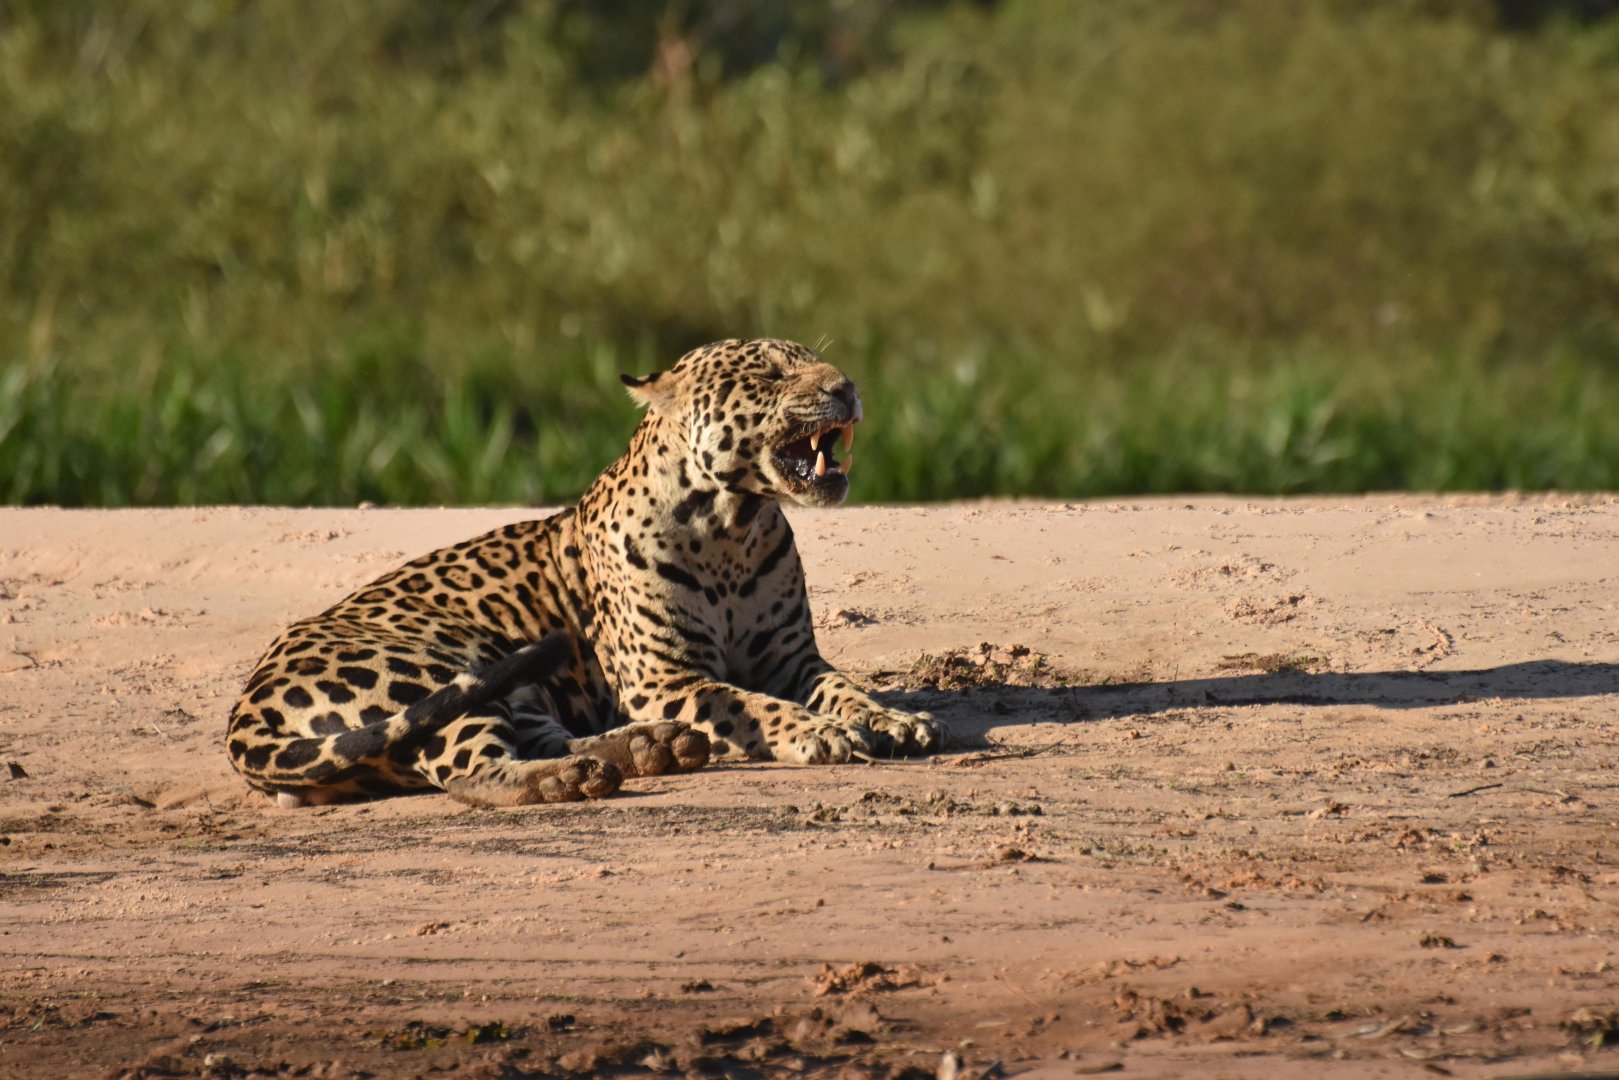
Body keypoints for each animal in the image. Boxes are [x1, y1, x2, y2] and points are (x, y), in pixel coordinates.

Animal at [225, 338, 945, 808]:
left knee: (539, 739)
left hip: (511, 685)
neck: (732, 526)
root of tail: (245, 708)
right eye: (768, 375)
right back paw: (572, 779)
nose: (844, 388)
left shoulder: (792, 657)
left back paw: (652, 748)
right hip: (433, 672)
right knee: (470, 771)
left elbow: (844, 687)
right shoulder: (667, 676)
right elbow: (750, 705)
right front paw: (817, 733)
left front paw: (890, 719)